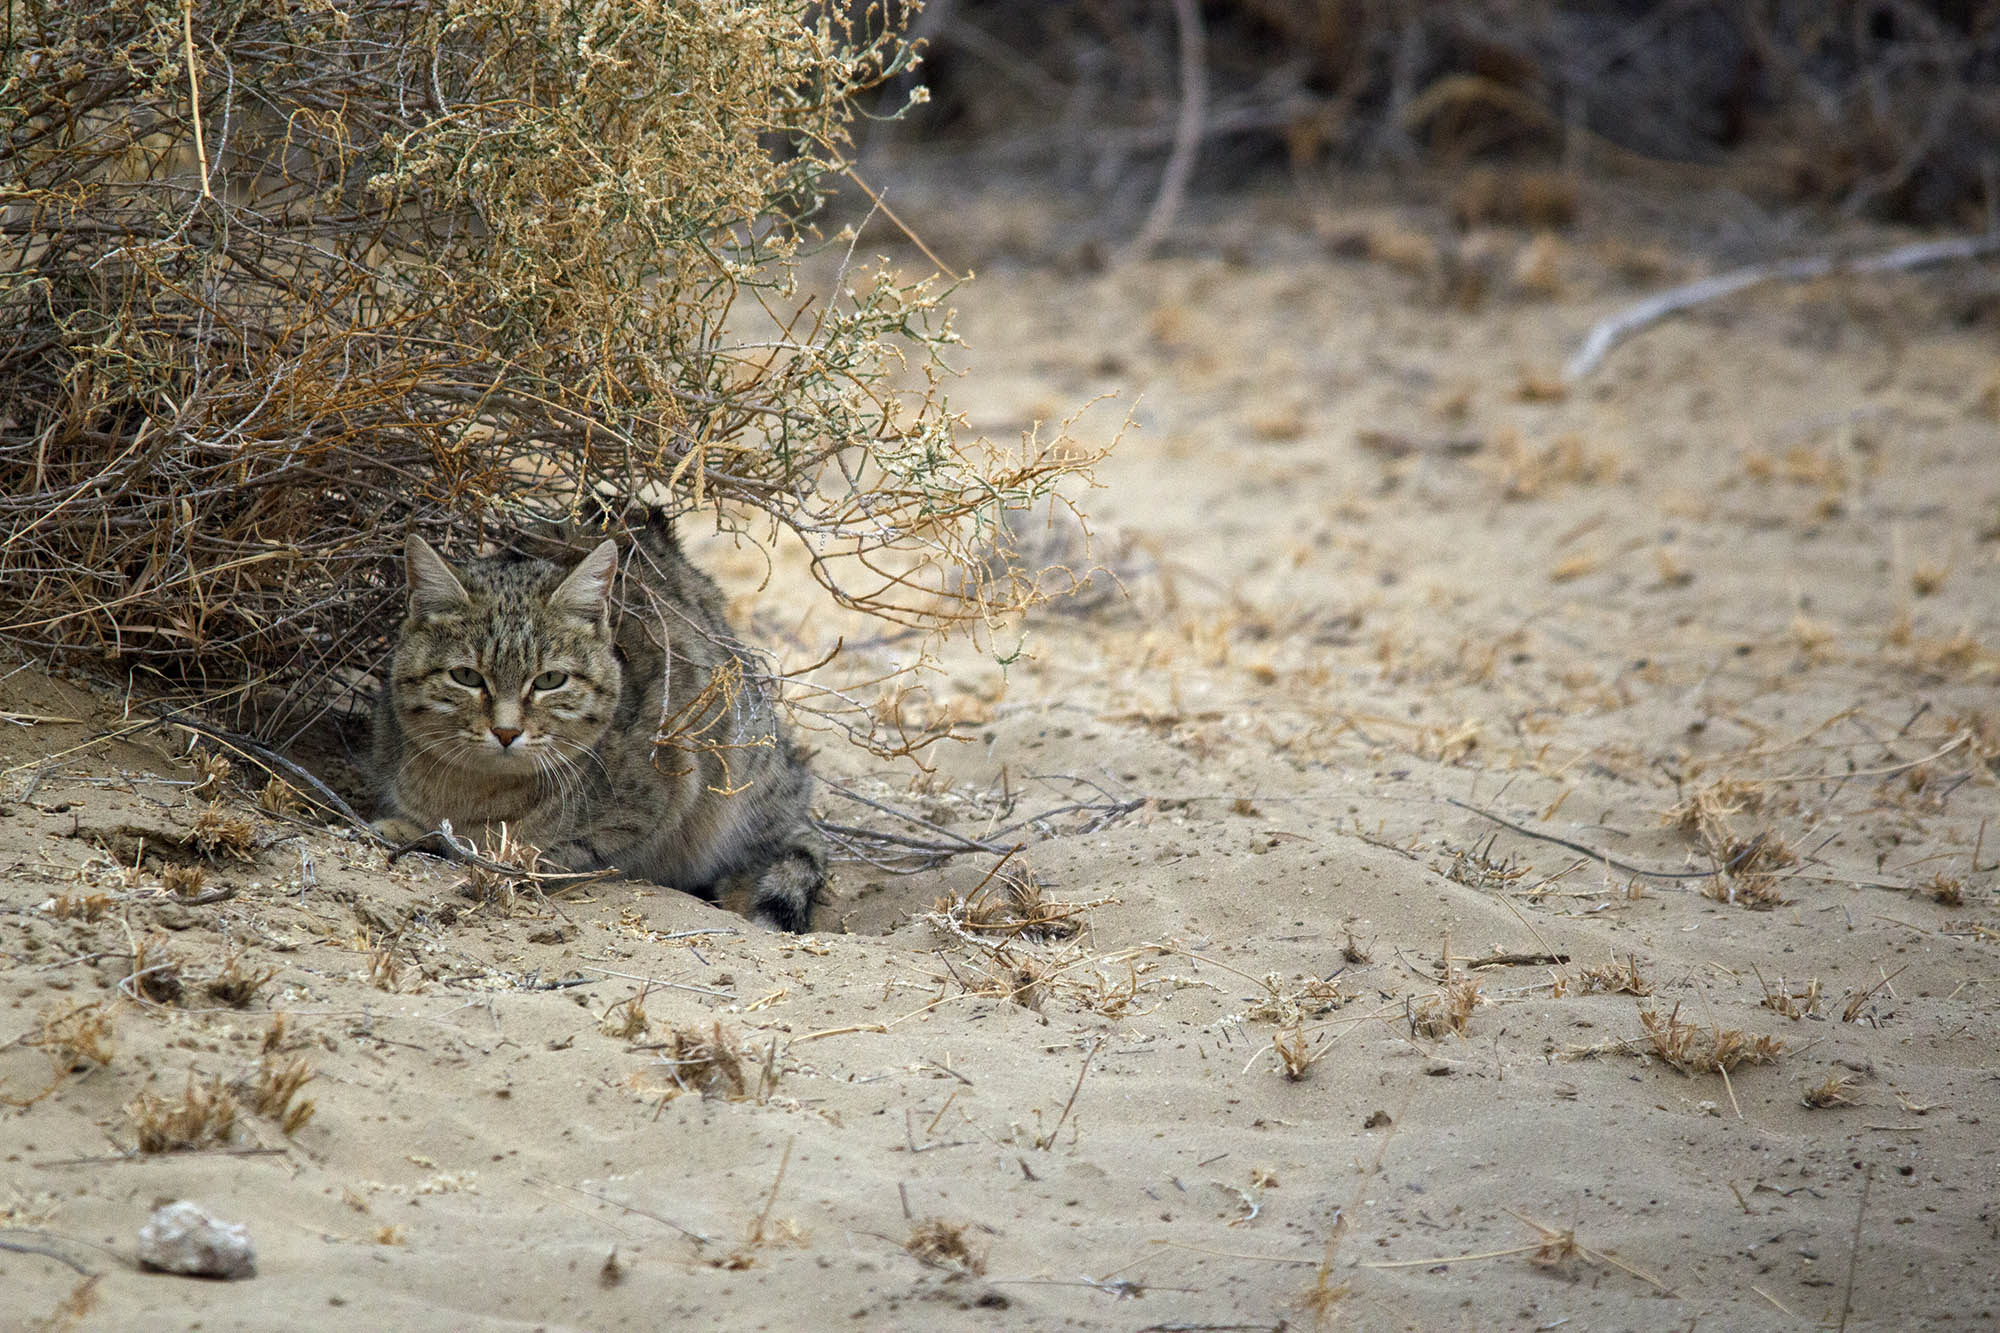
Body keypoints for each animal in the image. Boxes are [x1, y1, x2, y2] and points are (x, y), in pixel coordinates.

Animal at [368, 512, 820, 928]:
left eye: (550, 680)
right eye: (466, 676)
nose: (506, 731)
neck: (478, 791)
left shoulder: (657, 803)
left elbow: (570, 852)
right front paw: (410, 829)